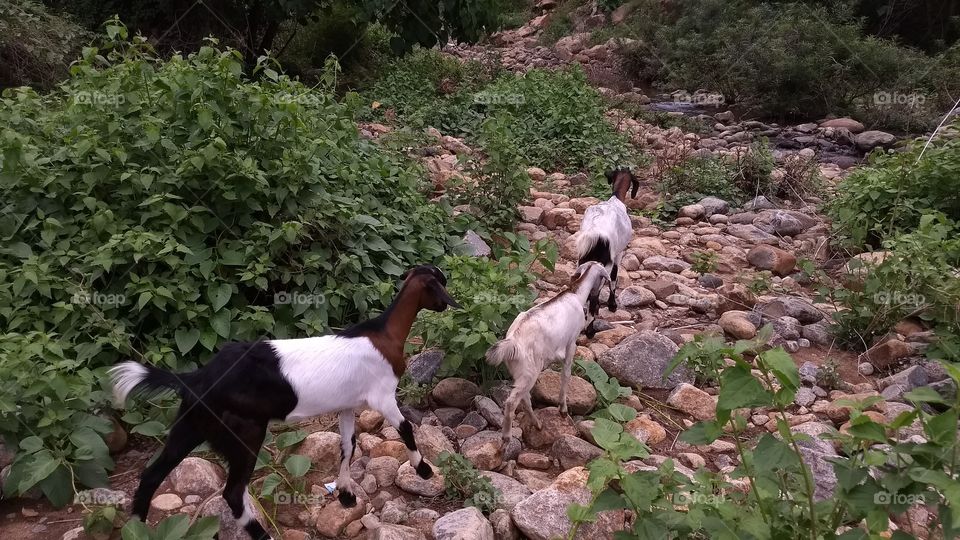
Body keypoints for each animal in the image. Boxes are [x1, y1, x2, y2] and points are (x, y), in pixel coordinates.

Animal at [108, 265, 459, 540]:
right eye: (440, 283)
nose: (445, 307)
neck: (384, 334)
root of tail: (197, 378)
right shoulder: (382, 395)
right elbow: (405, 428)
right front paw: (424, 470)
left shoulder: (347, 404)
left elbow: (348, 445)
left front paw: (346, 495)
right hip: (245, 434)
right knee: (233, 492)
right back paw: (261, 534)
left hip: (190, 425)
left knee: (151, 476)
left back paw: (138, 528)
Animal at [485, 261, 610, 443]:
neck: (575, 293)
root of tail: (513, 342)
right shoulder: (571, 343)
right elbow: (566, 374)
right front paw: (563, 409)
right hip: (530, 370)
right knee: (512, 402)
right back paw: (507, 437)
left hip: (520, 372)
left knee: (525, 398)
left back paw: (537, 424)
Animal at [575, 168, 639, 338]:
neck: (616, 198)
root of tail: (595, 234)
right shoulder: (618, 254)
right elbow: (615, 278)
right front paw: (612, 305)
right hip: (604, 265)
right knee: (594, 294)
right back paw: (590, 330)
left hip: (582, 262)